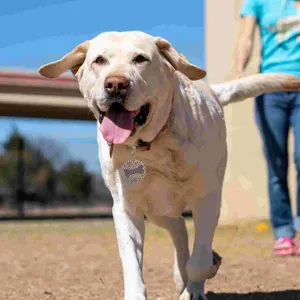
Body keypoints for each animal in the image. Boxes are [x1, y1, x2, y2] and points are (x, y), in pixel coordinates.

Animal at [39, 31, 300, 300]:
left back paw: (192, 283)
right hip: (157, 209)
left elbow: (199, 261)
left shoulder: (207, 198)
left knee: (188, 239)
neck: (150, 146)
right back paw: (181, 274)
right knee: (180, 230)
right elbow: (131, 261)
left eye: (140, 59)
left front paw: (202, 273)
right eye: (99, 60)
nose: (116, 84)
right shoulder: (126, 207)